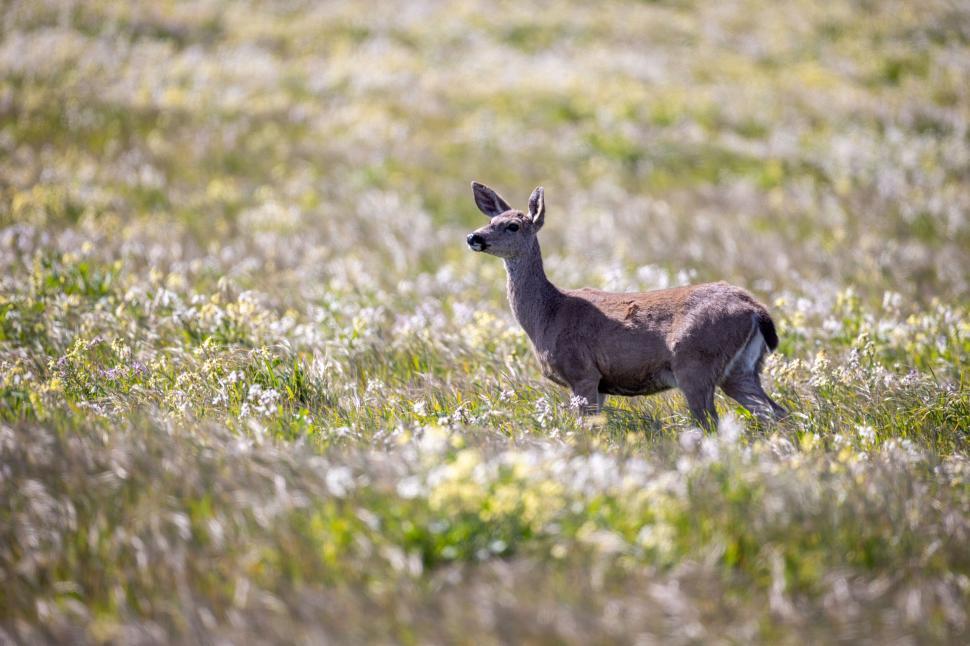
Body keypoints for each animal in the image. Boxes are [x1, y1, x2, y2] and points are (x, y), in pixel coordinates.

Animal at [465, 181, 788, 429]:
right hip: (741, 370)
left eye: (512, 225)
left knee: (712, 423)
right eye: (491, 221)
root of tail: (756, 310)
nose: (473, 236)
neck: (548, 315)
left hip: (696, 362)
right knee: (776, 412)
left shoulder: (582, 371)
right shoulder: (597, 383)